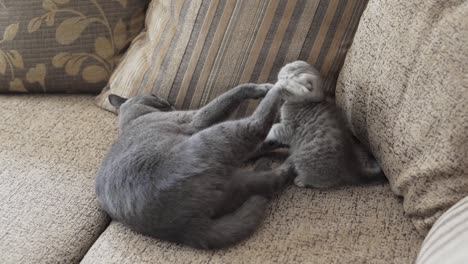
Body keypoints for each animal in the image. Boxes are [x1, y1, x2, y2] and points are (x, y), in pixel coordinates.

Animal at [94, 83, 292, 250]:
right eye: (153, 94)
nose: (170, 101)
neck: (134, 118)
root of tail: (186, 228)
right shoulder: (193, 119)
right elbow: (228, 96)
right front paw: (261, 88)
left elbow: (260, 147)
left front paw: (279, 141)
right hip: (212, 140)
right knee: (255, 127)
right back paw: (278, 88)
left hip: (235, 183)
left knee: (268, 181)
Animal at [262, 61, 382, 190]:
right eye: (283, 76)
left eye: (286, 89)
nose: (278, 84)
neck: (305, 103)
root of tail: (348, 165)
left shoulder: (288, 128)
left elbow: (275, 130)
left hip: (302, 159)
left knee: (323, 182)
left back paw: (301, 181)